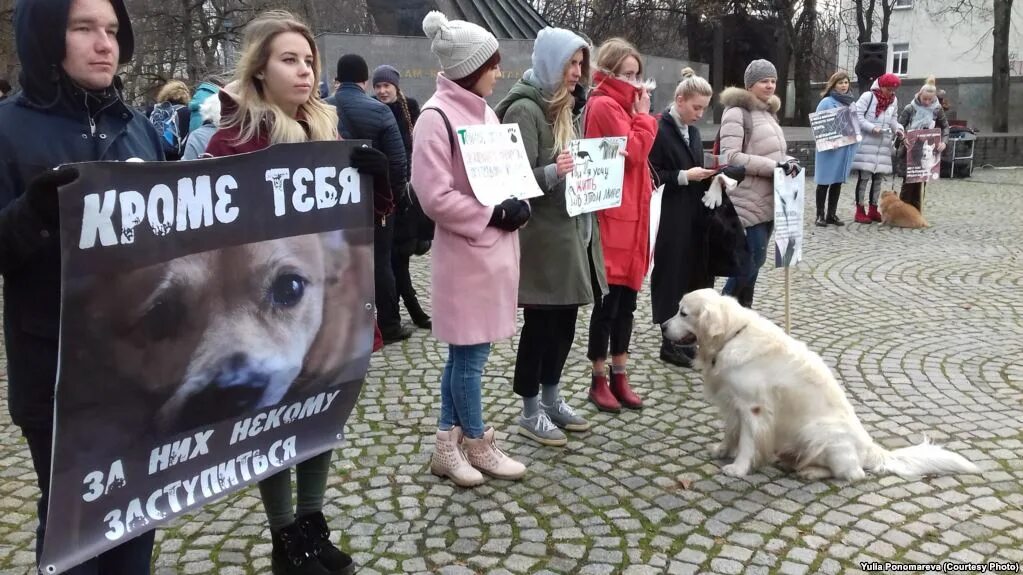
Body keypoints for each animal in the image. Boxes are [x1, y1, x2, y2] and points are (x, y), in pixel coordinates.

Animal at [658, 286, 977, 478]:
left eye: (683, 313)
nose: (662, 325)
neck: (732, 335)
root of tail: (870, 448)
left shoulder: (754, 408)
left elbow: (748, 441)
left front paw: (738, 468)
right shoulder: (732, 402)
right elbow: (731, 431)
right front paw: (723, 451)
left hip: (817, 431)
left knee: (853, 474)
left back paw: (810, 471)